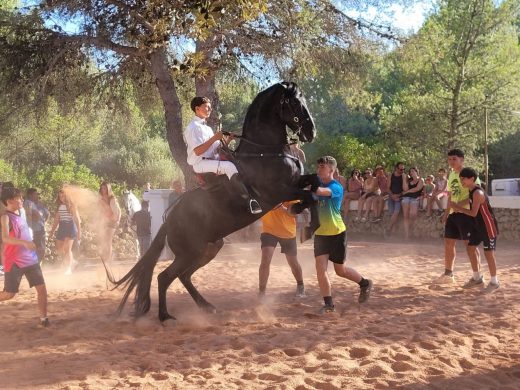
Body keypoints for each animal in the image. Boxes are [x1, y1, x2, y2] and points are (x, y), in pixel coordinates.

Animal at [109, 80, 316, 322]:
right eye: (295, 103)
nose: (311, 132)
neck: (263, 153)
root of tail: (169, 221)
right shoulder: (278, 192)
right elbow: (311, 195)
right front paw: (305, 221)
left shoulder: (295, 183)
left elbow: (315, 184)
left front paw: (302, 214)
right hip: (190, 252)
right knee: (165, 277)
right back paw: (165, 316)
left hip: (208, 249)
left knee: (183, 276)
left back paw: (206, 306)